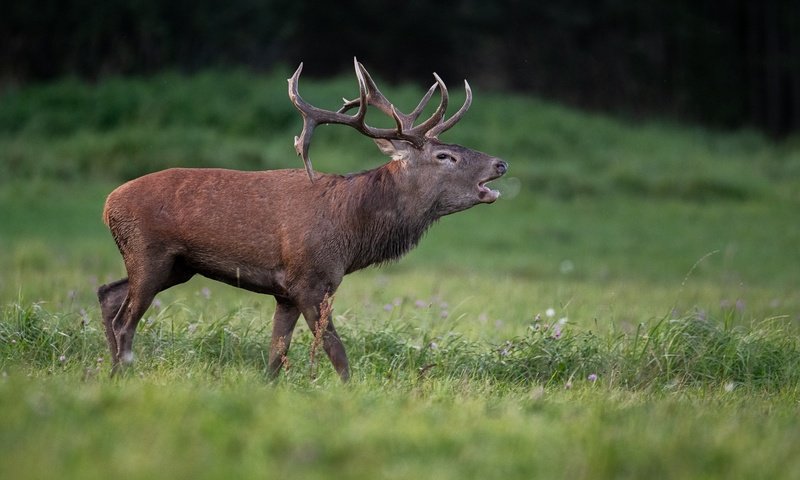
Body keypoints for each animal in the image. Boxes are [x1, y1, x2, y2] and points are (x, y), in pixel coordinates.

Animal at [94, 58, 506, 380]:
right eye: (444, 156)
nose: (500, 163)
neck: (352, 233)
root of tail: (108, 204)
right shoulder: (310, 279)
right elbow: (337, 354)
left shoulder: (286, 293)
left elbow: (276, 358)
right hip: (150, 252)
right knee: (125, 319)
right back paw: (124, 372)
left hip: (177, 266)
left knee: (107, 294)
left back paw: (113, 372)